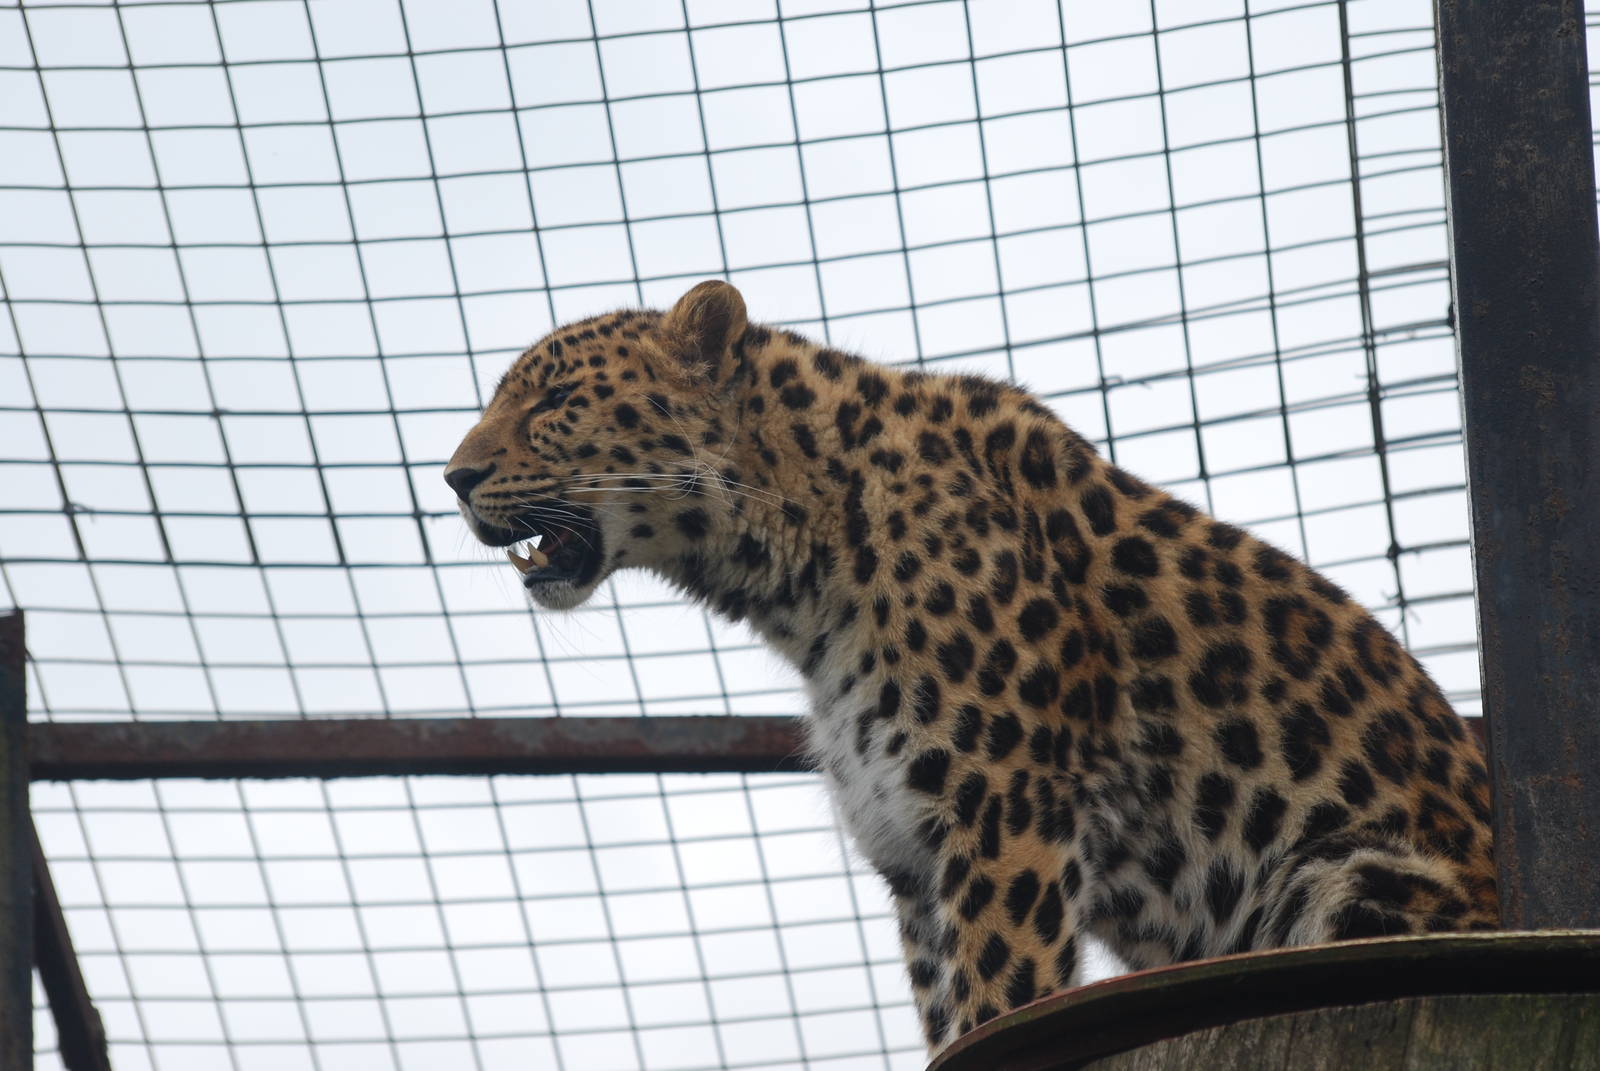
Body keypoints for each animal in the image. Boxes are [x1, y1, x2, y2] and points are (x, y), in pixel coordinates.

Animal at [445, 279, 1498, 1053]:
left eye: (554, 400)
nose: (451, 478)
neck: (801, 571)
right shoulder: (912, 856)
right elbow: (948, 1013)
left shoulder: (1005, 810)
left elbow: (1004, 994)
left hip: (1341, 871)